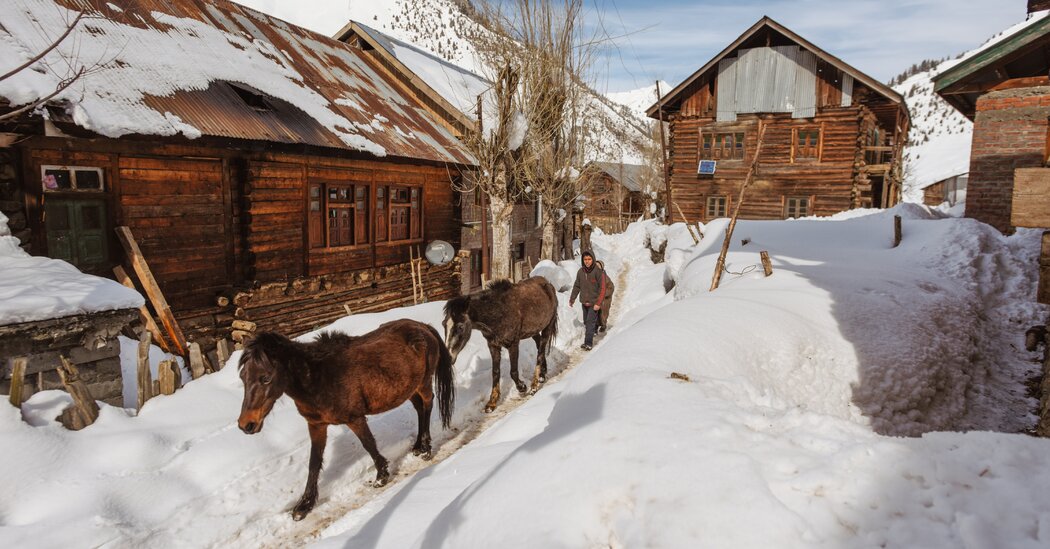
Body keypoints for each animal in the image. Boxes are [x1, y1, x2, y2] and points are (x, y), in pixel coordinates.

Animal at [238, 319, 455, 522]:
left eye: (265, 378)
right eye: (243, 377)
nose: (246, 425)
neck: (319, 378)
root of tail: (423, 326)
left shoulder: (355, 419)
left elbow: (368, 444)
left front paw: (381, 476)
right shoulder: (316, 425)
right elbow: (314, 462)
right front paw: (304, 505)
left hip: (423, 383)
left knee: (427, 405)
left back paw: (426, 448)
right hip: (409, 388)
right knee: (419, 409)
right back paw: (418, 446)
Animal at [440, 279, 558, 411]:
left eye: (460, 326)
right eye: (444, 324)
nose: (449, 357)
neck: (498, 312)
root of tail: (548, 283)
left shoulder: (513, 344)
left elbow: (513, 371)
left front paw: (522, 387)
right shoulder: (493, 345)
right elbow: (495, 372)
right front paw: (492, 402)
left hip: (548, 327)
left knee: (541, 351)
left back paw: (534, 386)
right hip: (533, 331)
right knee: (539, 346)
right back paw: (542, 375)